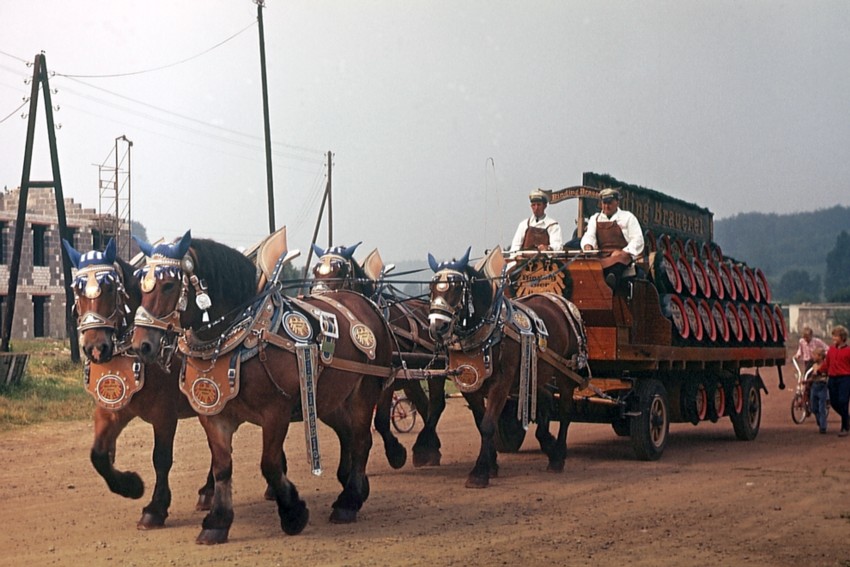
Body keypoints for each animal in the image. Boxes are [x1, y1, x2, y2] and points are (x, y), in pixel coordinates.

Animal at [60, 237, 212, 532]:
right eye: (78, 291)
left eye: (109, 288)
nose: (95, 349)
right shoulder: (112, 409)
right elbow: (98, 455)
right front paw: (130, 485)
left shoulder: (165, 415)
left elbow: (161, 459)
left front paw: (155, 508)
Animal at [131, 232, 392, 544]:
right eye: (141, 285)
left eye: (169, 285)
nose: (141, 344)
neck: (240, 334)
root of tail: (365, 303)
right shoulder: (212, 413)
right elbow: (222, 467)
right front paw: (217, 522)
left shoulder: (276, 411)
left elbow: (269, 464)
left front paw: (293, 513)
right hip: (330, 399)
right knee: (348, 436)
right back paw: (356, 489)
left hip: (363, 391)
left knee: (362, 440)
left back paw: (348, 502)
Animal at [310, 242, 444, 468]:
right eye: (315, 271)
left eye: (340, 271)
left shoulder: (385, 377)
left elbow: (380, 420)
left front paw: (396, 453)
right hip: (411, 380)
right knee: (423, 404)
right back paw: (429, 448)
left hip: (436, 368)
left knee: (436, 404)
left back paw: (425, 447)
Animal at [428, 247, 588, 488]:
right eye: (431, 287)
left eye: (456, 287)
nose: (437, 327)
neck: (488, 332)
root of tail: (557, 299)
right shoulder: (469, 384)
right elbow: (482, 423)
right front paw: (491, 465)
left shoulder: (501, 384)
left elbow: (487, 425)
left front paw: (479, 473)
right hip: (534, 373)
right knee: (546, 400)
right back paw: (548, 444)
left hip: (565, 370)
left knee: (566, 409)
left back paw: (558, 455)